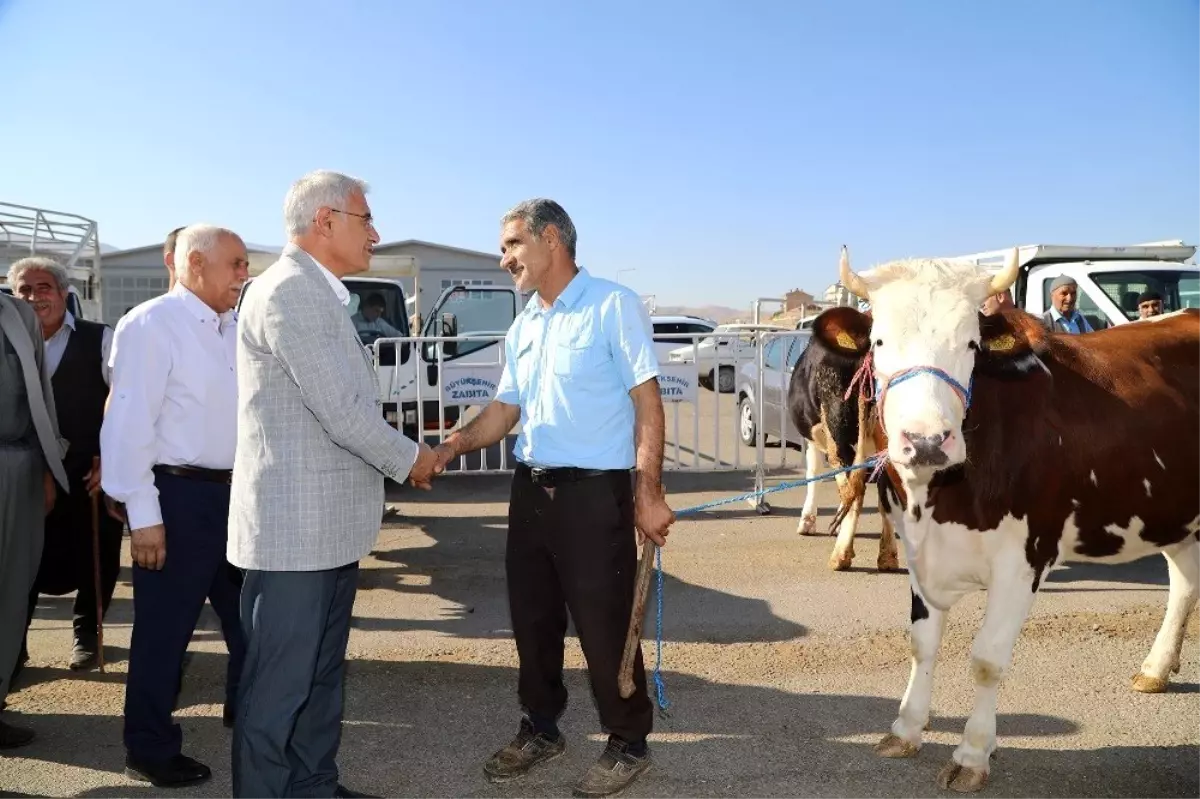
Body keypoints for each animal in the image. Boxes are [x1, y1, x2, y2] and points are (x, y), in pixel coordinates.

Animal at [820, 247, 1200, 791]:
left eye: (972, 343)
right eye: (878, 341)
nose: (928, 440)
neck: (936, 499)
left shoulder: (1026, 557)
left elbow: (987, 660)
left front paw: (973, 753)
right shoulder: (920, 552)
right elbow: (922, 644)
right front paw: (906, 728)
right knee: (1185, 580)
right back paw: (1157, 668)